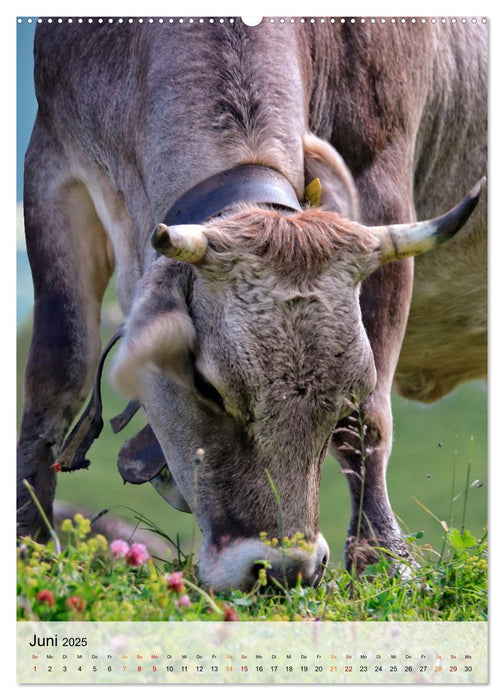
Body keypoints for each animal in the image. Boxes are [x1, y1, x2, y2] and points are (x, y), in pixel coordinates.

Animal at [17, 17, 486, 592]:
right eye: (205, 386)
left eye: (346, 395)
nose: (281, 570)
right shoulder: (52, 164)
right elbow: (57, 373)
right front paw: (30, 546)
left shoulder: (381, 182)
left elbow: (370, 421)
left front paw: (385, 561)